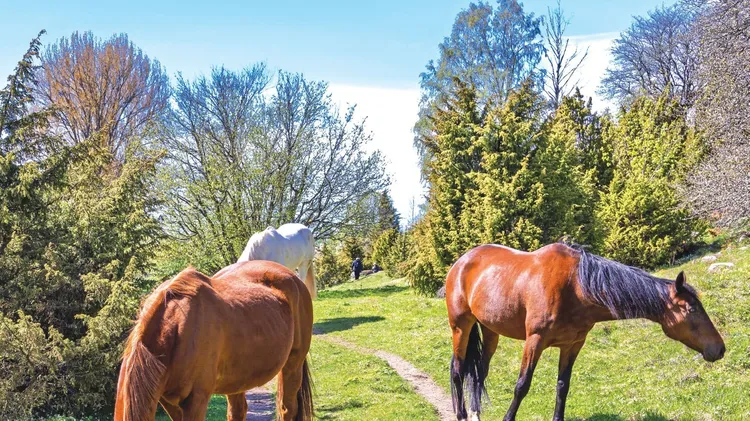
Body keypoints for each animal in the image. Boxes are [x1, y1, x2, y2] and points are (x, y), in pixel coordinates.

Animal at [114, 260, 314, 421]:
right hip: (238, 379)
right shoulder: (169, 401)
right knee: (238, 411)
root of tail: (293, 278)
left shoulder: (196, 400)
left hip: (293, 366)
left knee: (288, 409)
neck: (176, 325)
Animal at [446, 243, 725, 421]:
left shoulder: (573, 344)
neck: (576, 287)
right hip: (461, 325)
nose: (719, 349)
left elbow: (563, 386)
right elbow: (522, 385)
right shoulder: (534, 341)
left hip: (490, 330)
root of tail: (462, 261)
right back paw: (461, 414)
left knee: (479, 372)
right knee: (458, 370)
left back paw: (475, 412)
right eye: (691, 309)